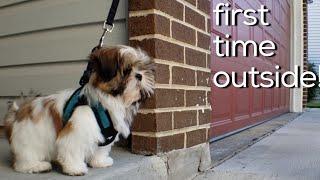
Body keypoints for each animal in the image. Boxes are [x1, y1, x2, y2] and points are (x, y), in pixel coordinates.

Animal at [3, 45, 155, 176]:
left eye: (140, 68)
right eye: (127, 70)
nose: (139, 75)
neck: (109, 100)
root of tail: (17, 115)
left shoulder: (103, 136)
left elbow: (100, 150)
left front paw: (100, 162)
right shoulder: (77, 130)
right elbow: (72, 148)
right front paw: (75, 169)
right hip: (29, 142)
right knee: (24, 161)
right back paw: (38, 166)